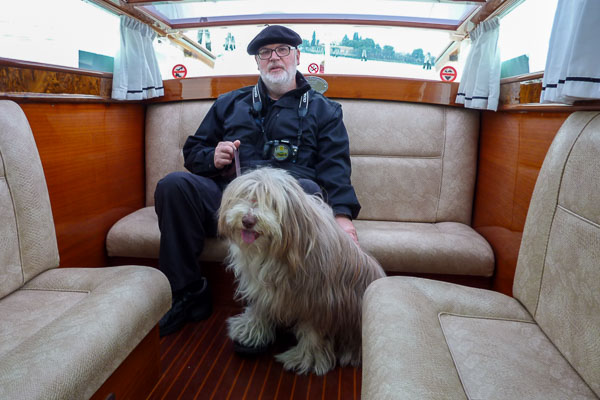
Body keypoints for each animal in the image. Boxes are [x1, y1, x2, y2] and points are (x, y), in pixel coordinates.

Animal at [217, 167, 384, 374]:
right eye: (244, 196)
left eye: (272, 203)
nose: (248, 220)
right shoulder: (262, 287)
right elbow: (260, 306)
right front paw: (251, 330)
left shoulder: (318, 299)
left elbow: (313, 331)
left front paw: (307, 358)